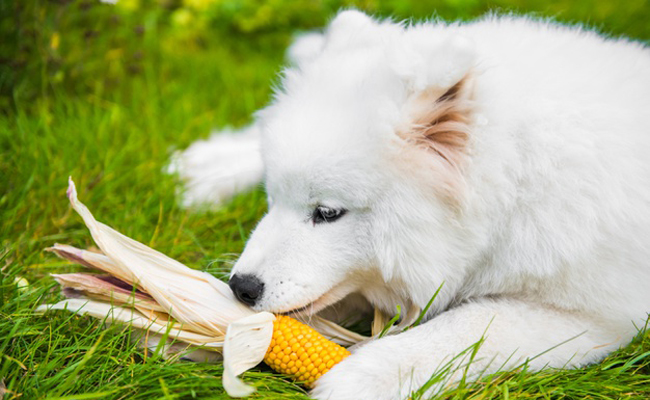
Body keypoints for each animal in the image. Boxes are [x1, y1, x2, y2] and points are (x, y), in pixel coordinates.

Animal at [171, 10, 648, 400]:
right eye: (271, 200)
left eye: (327, 213)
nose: (241, 287)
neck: (518, 178)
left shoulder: (595, 315)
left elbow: (470, 328)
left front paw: (363, 376)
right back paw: (209, 169)